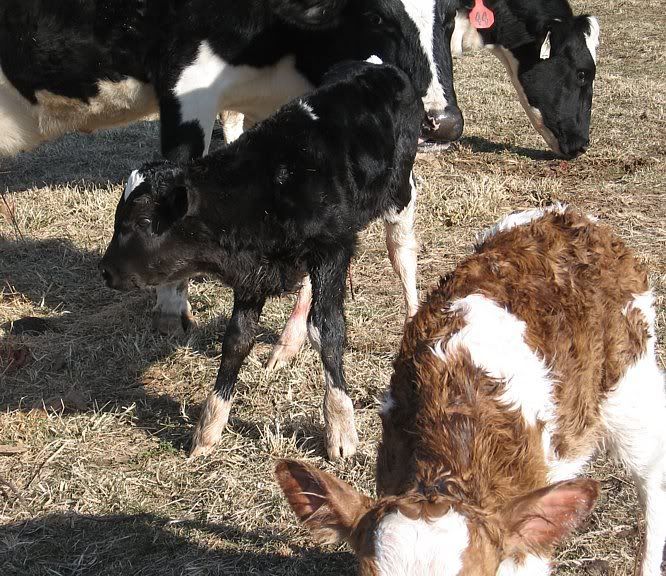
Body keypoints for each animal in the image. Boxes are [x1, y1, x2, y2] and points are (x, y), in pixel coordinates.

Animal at [99, 59, 424, 461]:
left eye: (144, 222)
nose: (105, 270)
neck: (272, 184)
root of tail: (377, 65)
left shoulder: (333, 249)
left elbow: (329, 329)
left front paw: (340, 428)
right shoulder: (252, 272)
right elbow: (237, 339)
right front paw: (209, 426)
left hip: (399, 194)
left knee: (402, 253)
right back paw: (287, 346)